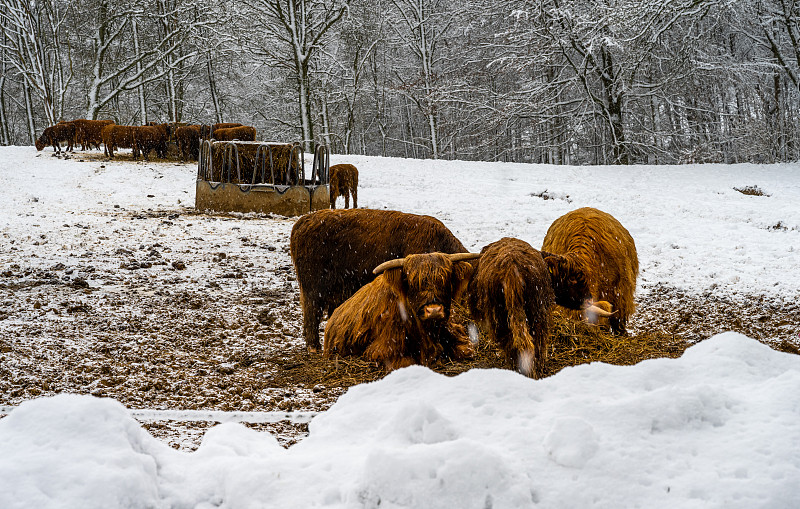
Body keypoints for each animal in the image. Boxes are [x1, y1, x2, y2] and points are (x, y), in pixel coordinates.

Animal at [324, 251, 482, 368]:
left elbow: (466, 350)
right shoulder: (380, 350)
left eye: (445, 280)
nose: (434, 310)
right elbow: (408, 362)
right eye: (412, 283)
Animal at [466, 238, 608, 378]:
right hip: (536, 313)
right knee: (535, 341)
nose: (589, 300)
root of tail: (511, 268)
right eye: (572, 278)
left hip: (503, 316)